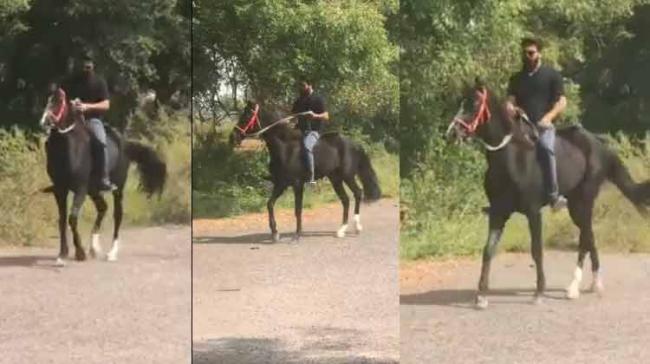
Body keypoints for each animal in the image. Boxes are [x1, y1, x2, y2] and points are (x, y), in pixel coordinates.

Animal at [39, 86, 166, 266]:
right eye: (48, 99)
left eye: (58, 102)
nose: (44, 122)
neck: (70, 148)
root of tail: (126, 145)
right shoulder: (60, 190)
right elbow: (62, 220)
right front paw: (62, 254)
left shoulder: (80, 189)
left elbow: (72, 218)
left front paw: (79, 253)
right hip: (93, 189)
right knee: (103, 208)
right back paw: (94, 247)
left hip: (116, 189)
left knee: (117, 215)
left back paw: (111, 253)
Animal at [229, 102, 380, 242]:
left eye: (247, 116)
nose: (233, 137)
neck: (286, 149)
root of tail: (355, 144)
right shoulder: (281, 184)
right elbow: (270, 204)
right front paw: (275, 233)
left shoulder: (297, 184)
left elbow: (297, 209)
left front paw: (297, 235)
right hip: (335, 179)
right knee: (345, 199)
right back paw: (341, 230)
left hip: (347, 176)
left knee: (357, 193)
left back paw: (357, 227)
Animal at [448, 81, 648, 308]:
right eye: (460, 101)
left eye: (474, 103)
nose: (452, 132)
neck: (512, 159)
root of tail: (600, 146)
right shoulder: (498, 212)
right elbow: (488, 250)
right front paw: (481, 296)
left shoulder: (533, 212)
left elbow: (537, 251)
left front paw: (539, 293)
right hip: (576, 205)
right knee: (588, 237)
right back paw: (593, 284)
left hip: (582, 203)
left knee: (585, 238)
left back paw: (576, 288)